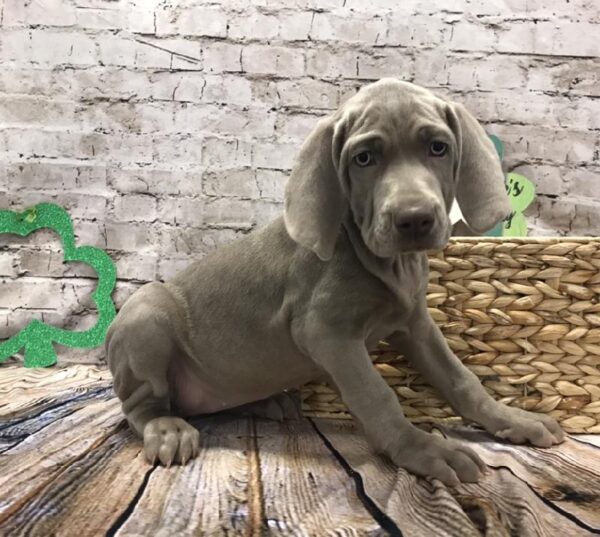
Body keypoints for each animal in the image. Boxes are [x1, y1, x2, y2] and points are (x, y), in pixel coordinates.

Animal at [106, 79, 564, 486]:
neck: (386, 262)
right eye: (364, 158)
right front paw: (424, 450)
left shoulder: (415, 323)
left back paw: (269, 402)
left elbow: (461, 378)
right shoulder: (326, 333)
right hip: (147, 315)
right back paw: (168, 428)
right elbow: (378, 396)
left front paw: (512, 419)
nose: (414, 219)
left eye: (438, 147)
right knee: (141, 407)